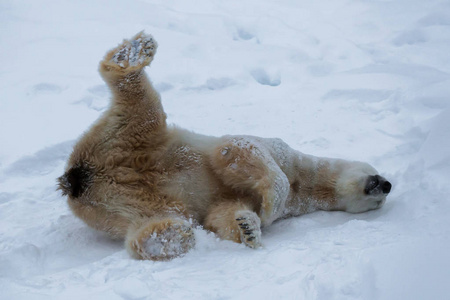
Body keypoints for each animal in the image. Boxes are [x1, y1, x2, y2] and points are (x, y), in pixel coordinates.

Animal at [59, 32, 390, 260]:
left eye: (382, 201)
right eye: (377, 171)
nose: (385, 184)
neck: (305, 182)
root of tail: (77, 179)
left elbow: (224, 212)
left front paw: (249, 228)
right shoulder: (275, 150)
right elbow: (240, 152)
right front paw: (268, 204)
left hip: (126, 206)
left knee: (150, 225)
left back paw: (168, 236)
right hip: (132, 139)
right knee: (144, 109)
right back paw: (133, 55)